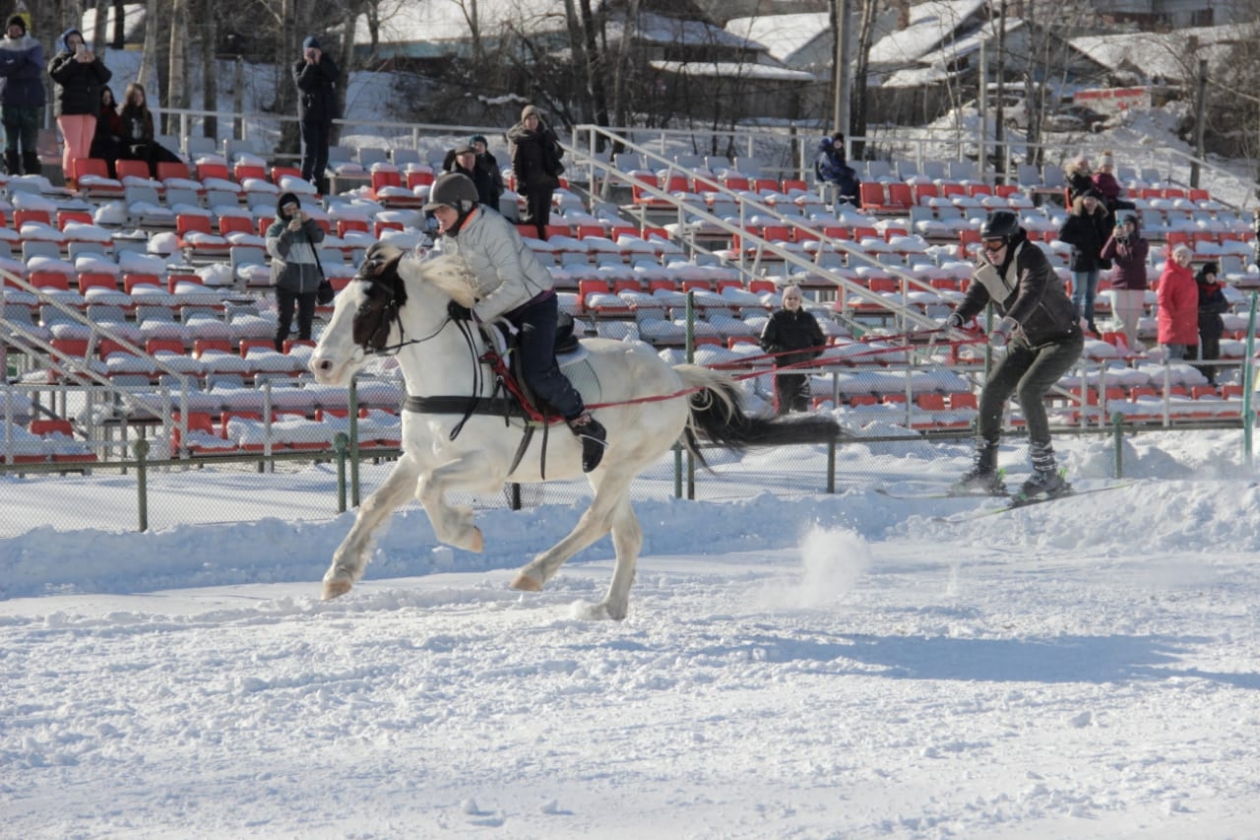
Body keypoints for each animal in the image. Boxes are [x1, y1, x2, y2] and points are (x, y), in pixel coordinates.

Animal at [307, 246, 836, 622]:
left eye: (367, 307)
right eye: (336, 303)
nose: (321, 364)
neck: (452, 372)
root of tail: (674, 376)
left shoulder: (486, 467)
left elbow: (428, 490)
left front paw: (466, 534)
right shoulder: (418, 456)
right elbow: (377, 504)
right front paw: (338, 574)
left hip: (620, 466)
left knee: (596, 523)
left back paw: (534, 573)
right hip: (605, 467)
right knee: (627, 535)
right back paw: (608, 608)